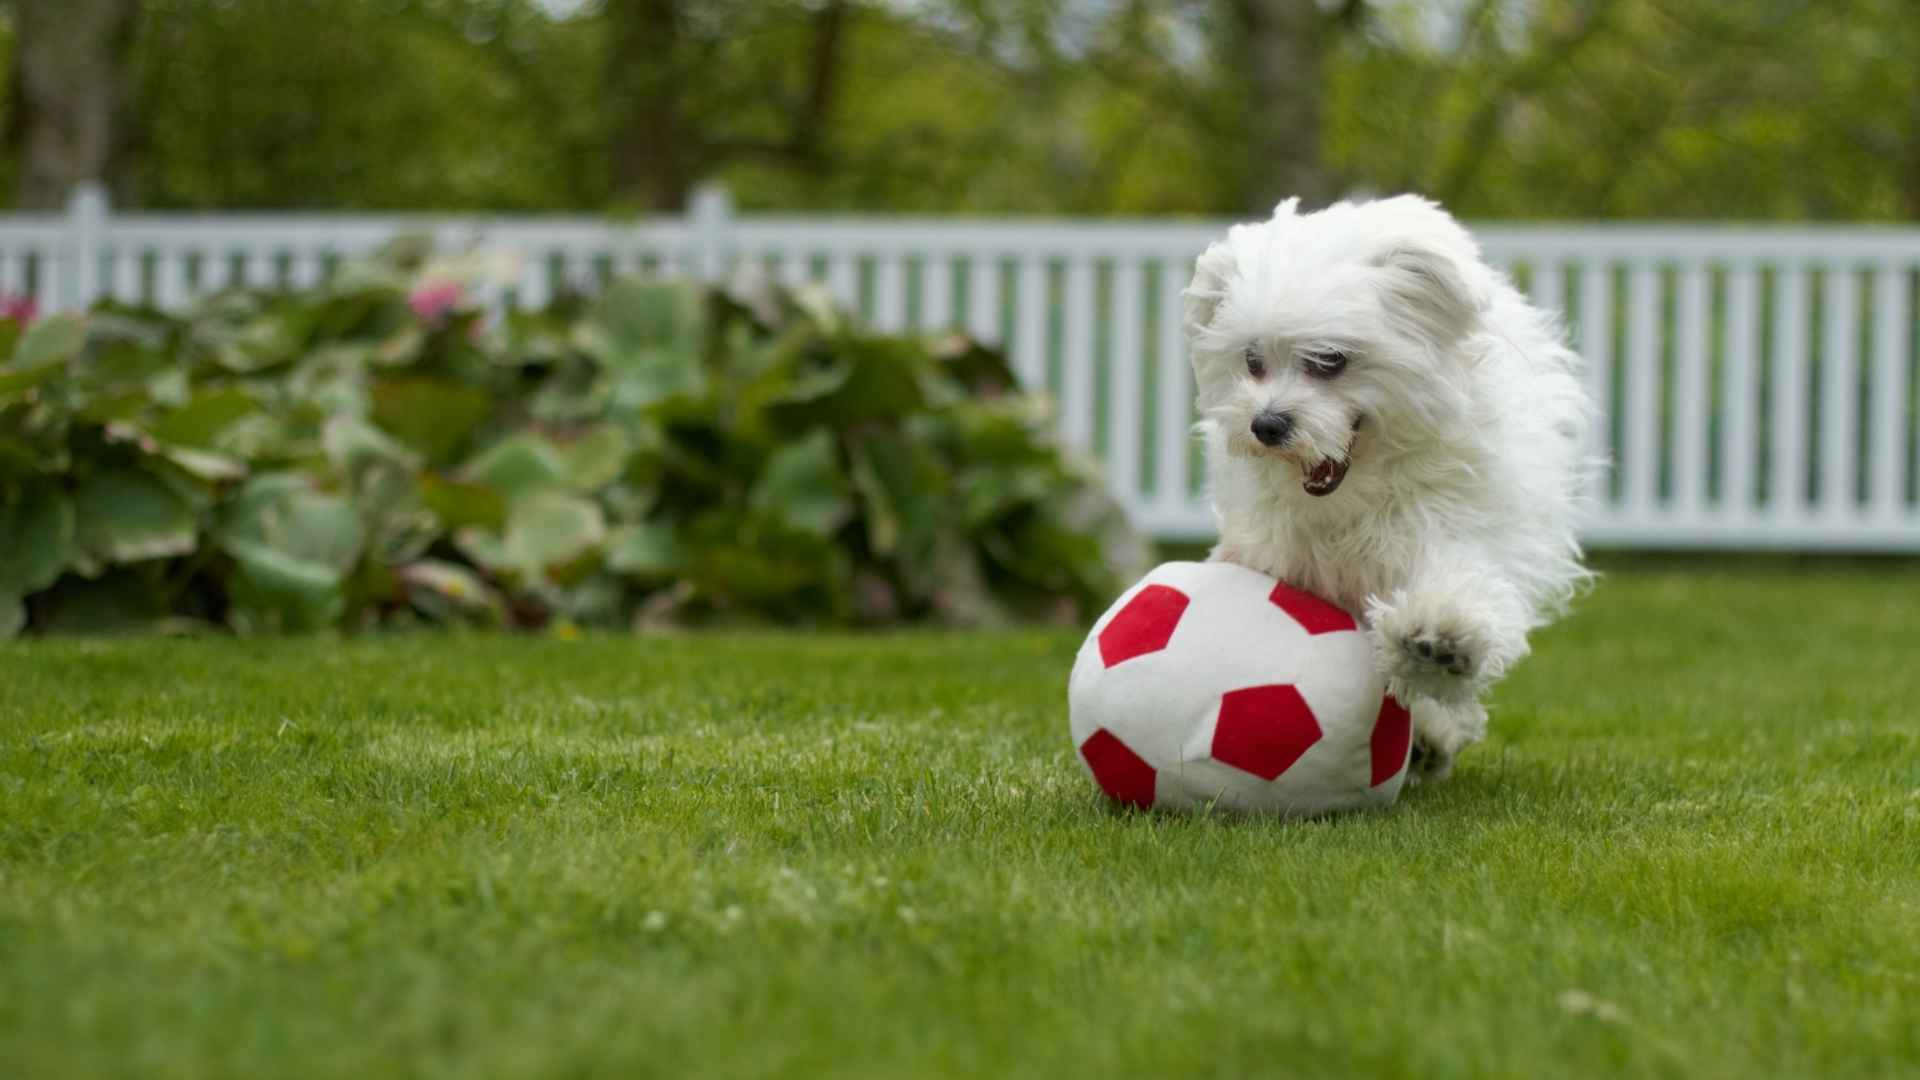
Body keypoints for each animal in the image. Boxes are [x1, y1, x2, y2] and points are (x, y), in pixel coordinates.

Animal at [1182, 193, 1589, 776]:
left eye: (1329, 360)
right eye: (1252, 361)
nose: (1266, 425)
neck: (1356, 503)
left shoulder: (1451, 526)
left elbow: (1455, 583)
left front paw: (1439, 638)